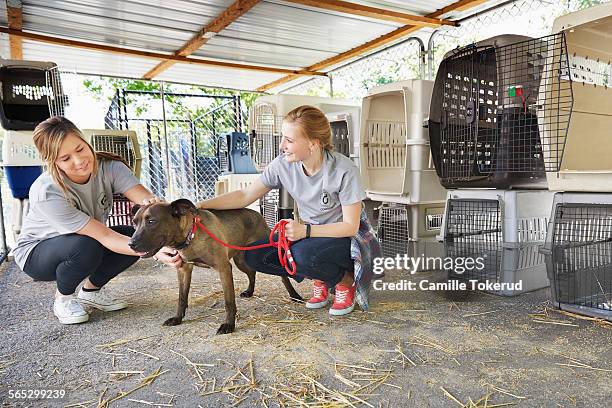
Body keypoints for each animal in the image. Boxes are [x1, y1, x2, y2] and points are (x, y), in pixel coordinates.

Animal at [128, 198, 302, 334]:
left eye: (152, 221)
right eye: (134, 223)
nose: (131, 244)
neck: (191, 235)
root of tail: (258, 214)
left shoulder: (224, 268)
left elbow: (229, 302)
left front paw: (229, 325)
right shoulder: (184, 269)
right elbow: (182, 298)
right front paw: (177, 318)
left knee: (283, 276)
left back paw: (294, 295)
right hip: (241, 260)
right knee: (251, 273)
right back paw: (249, 291)